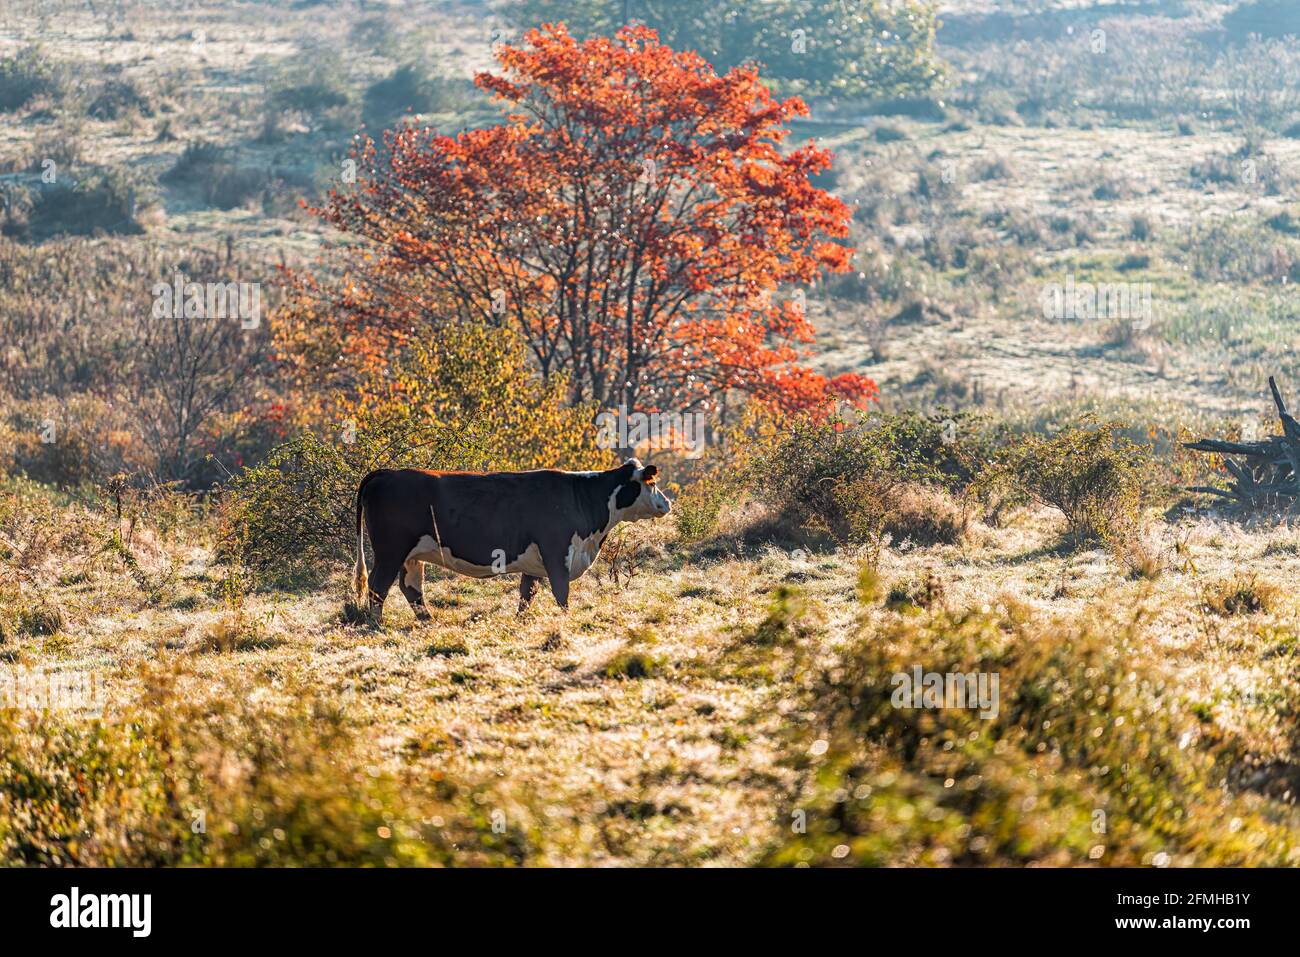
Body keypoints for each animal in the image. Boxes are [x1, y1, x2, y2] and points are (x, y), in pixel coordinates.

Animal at [352, 458, 672, 620]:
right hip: (390, 552)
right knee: (378, 587)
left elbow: (526, 596)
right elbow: (561, 594)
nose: (667, 503)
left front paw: (522, 622)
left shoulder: (534, 565)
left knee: (411, 589)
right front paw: (567, 621)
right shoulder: (556, 552)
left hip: (412, 555)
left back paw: (428, 621)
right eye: (652, 482)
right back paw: (377, 623)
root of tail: (388, 472)